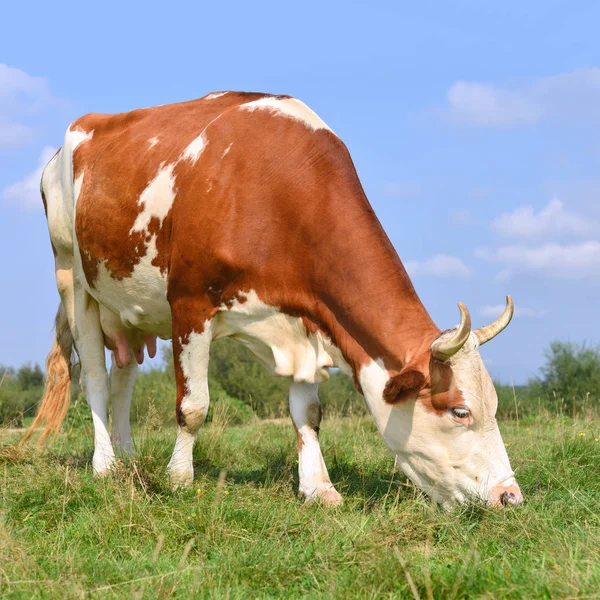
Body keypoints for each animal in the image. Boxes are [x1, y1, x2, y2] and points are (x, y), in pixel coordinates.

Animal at [22, 91, 520, 508]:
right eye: (460, 410)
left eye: (495, 404)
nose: (510, 496)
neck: (273, 191)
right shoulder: (190, 305)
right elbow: (193, 406)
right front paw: (179, 479)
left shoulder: (305, 320)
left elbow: (309, 413)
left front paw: (318, 488)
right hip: (74, 283)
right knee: (96, 379)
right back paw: (105, 465)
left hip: (129, 310)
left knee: (123, 379)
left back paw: (127, 458)